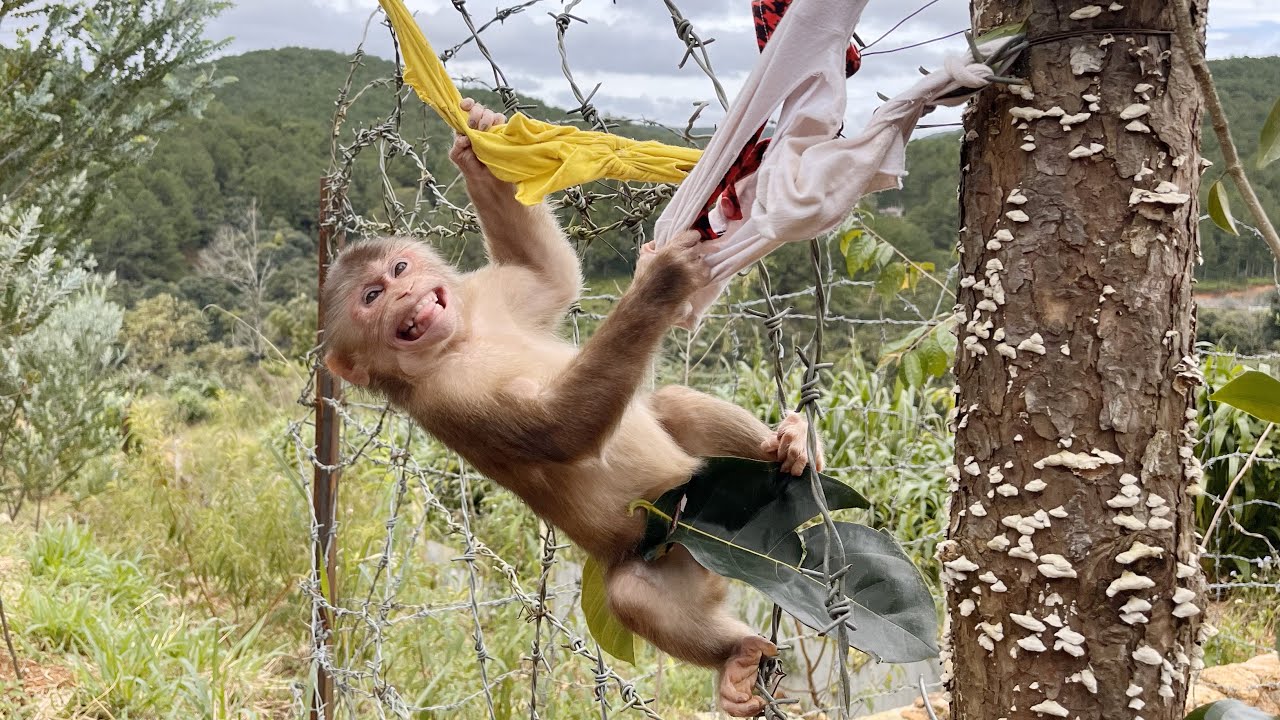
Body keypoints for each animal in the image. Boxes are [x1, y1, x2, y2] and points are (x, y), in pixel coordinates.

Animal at [322, 98, 825, 718]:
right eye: (371, 298)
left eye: (398, 270)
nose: (402, 297)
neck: (459, 340)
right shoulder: (445, 398)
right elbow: (554, 432)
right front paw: (662, 280)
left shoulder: (486, 296)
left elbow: (552, 278)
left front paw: (478, 142)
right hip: (660, 546)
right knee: (632, 594)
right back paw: (735, 658)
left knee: (675, 405)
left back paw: (790, 446)